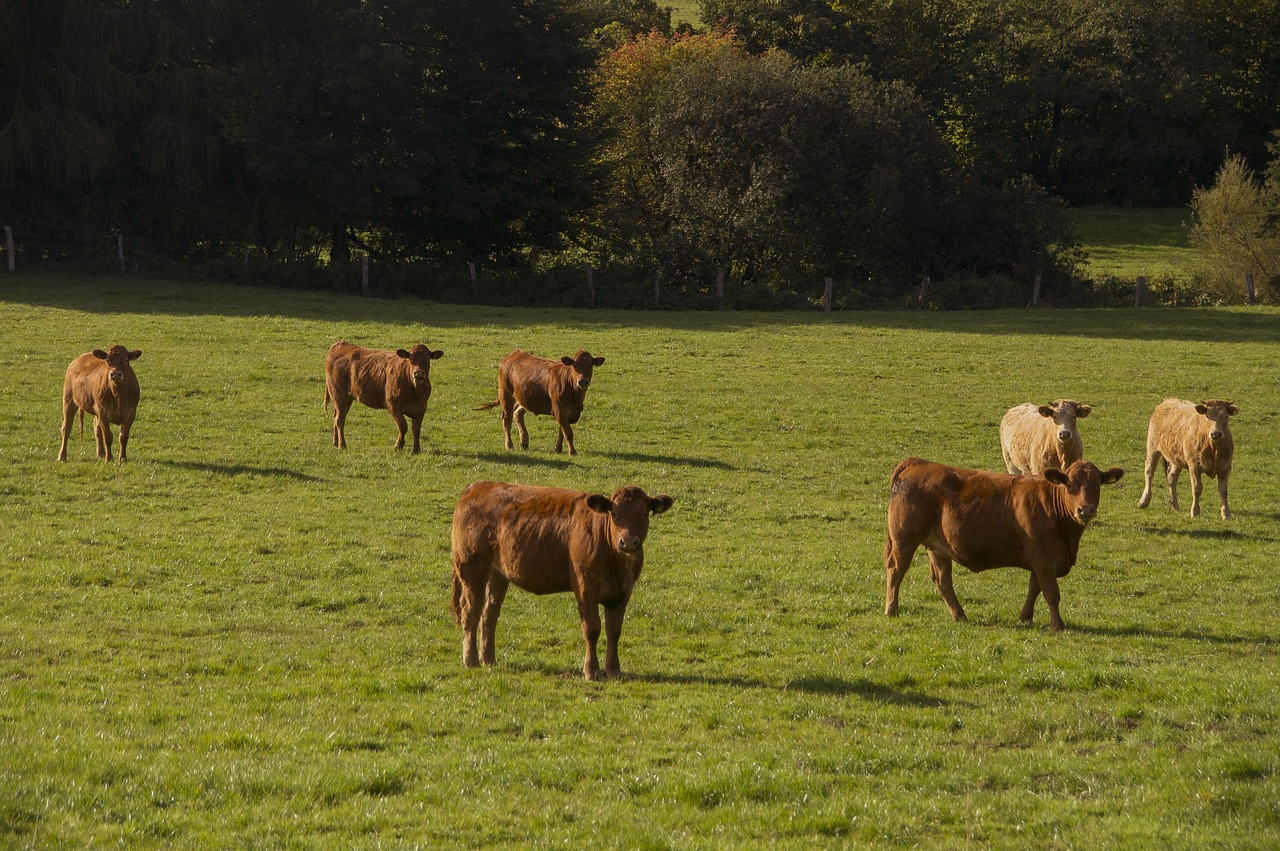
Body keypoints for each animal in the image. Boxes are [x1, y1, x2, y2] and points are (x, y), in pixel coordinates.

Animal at [450, 481, 675, 680]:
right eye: (615, 514)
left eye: (644, 514)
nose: (628, 542)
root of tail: (478, 487)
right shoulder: (585, 587)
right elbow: (592, 629)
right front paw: (591, 671)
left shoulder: (623, 592)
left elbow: (614, 631)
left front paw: (614, 670)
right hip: (471, 568)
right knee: (471, 612)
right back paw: (471, 660)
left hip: (498, 574)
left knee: (489, 614)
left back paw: (489, 659)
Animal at [478, 348, 606, 455]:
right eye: (574, 365)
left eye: (590, 365)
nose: (583, 381)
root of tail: (513, 354)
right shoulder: (559, 410)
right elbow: (568, 432)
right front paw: (572, 452)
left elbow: (561, 430)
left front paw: (558, 449)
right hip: (505, 395)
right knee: (506, 420)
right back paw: (509, 445)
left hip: (525, 398)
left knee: (518, 412)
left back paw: (524, 441)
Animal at [885, 458, 1126, 629]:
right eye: (1070, 484)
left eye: (1097, 484)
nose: (1085, 510)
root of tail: (917, 463)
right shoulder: (1043, 557)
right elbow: (1051, 592)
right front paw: (1057, 624)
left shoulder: (1040, 558)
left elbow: (1034, 588)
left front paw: (1025, 617)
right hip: (904, 540)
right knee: (896, 570)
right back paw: (891, 610)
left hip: (937, 547)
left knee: (942, 580)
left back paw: (960, 615)